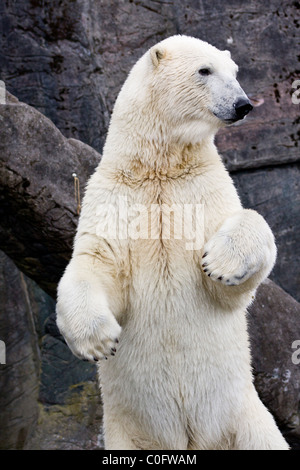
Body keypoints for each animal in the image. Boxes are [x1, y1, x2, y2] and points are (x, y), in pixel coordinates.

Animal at [55, 35, 288, 450]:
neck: (160, 168)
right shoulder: (117, 197)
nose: (242, 104)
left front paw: (220, 264)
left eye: (235, 71)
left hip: (246, 418)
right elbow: (97, 262)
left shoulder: (202, 188)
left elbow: (232, 278)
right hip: (124, 431)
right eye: (204, 70)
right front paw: (99, 342)